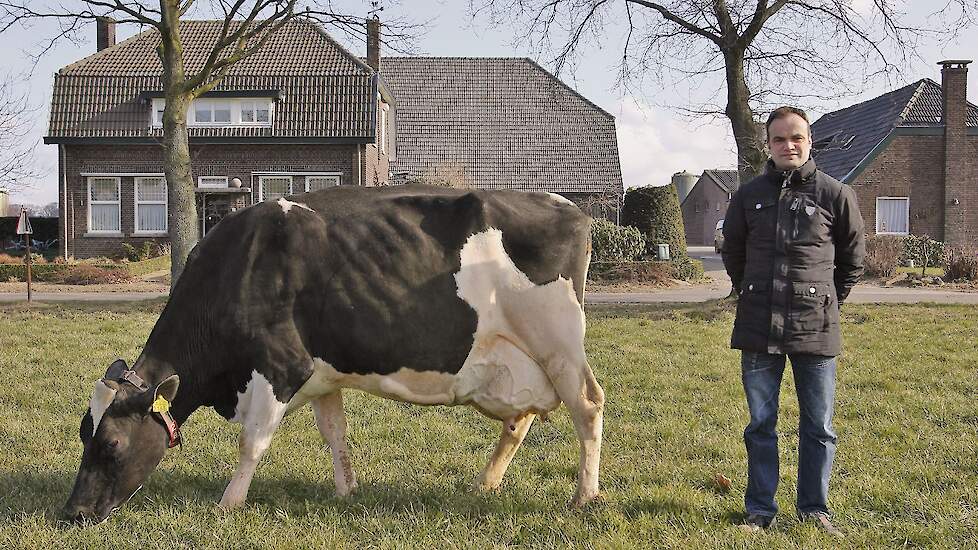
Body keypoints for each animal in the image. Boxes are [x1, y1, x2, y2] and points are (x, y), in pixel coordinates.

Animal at [63, 185, 604, 528]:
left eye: (111, 443)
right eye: (84, 433)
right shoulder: (323, 377)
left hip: (558, 342)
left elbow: (251, 443)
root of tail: (567, 207)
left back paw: (583, 496)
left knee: (588, 406)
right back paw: (485, 486)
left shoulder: (282, 366)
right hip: (520, 355)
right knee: (521, 419)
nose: (73, 513)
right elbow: (334, 433)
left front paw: (228, 504)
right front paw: (347, 491)